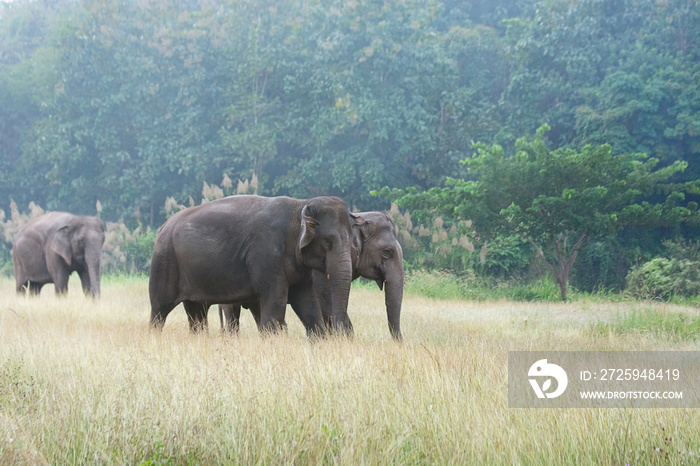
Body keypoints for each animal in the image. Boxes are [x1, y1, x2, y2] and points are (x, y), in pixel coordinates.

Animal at [148, 195, 360, 336]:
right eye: (328, 241)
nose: (343, 332)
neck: (299, 205)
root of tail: (162, 227)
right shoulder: (266, 256)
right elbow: (274, 310)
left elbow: (307, 303)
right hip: (165, 261)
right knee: (159, 309)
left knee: (196, 312)